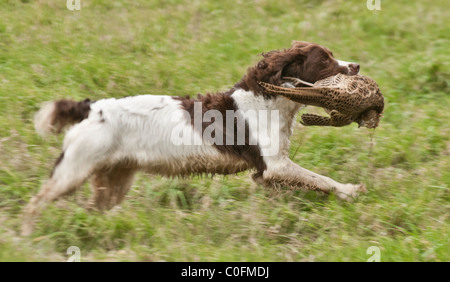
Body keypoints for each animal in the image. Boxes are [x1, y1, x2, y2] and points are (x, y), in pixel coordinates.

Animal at [22, 41, 366, 236]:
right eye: (325, 60)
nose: (357, 65)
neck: (270, 98)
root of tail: (92, 108)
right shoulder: (275, 165)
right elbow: (321, 178)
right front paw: (350, 190)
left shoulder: (269, 171)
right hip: (73, 170)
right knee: (35, 203)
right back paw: (26, 236)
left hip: (114, 179)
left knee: (93, 209)